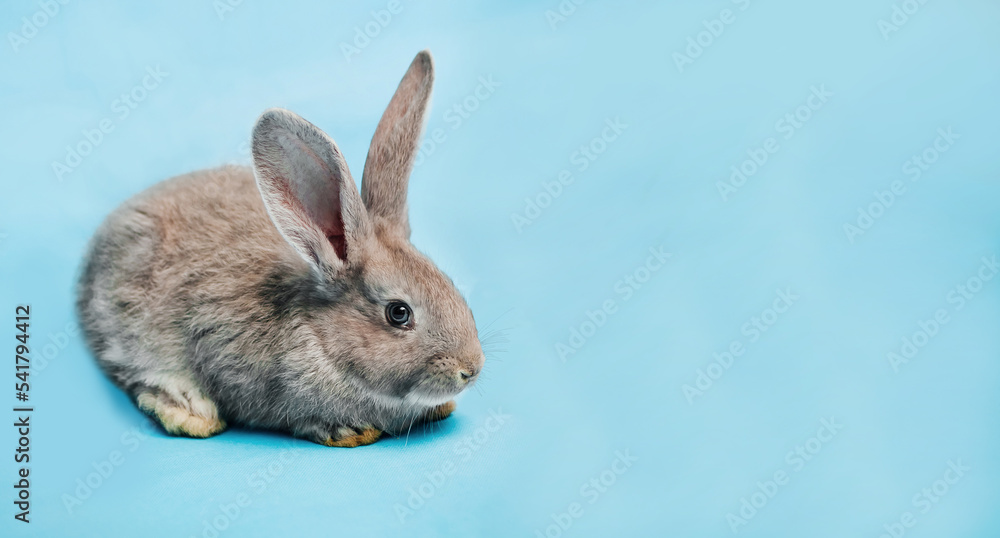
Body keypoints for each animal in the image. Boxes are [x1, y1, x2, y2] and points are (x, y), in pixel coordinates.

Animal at [77, 49, 484, 444]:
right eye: (398, 313)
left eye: (448, 283)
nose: (471, 368)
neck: (320, 337)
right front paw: (346, 431)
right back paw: (190, 412)